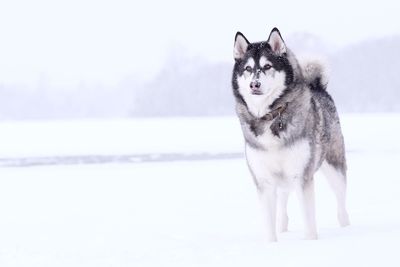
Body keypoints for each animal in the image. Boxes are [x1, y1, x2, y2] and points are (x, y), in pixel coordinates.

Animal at [231, 27, 350, 243]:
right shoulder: (264, 181)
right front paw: (273, 243)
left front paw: (311, 242)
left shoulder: (302, 176)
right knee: (283, 203)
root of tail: (317, 86)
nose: (254, 85)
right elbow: (269, 224)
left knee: (341, 202)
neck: (270, 116)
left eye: (267, 66)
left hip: (334, 167)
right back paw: (283, 227)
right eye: (248, 69)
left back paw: (346, 227)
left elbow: (309, 221)